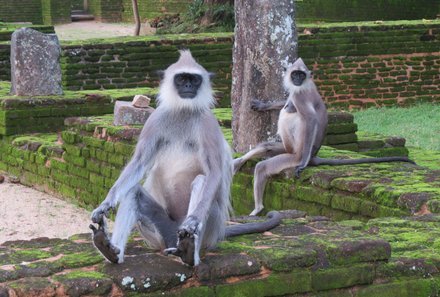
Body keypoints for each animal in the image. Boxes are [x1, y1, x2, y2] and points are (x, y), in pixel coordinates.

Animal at [90, 50, 282, 266]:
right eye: (182, 79)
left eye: (194, 79)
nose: (188, 86)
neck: (183, 110)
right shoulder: (155, 119)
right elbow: (138, 163)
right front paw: (105, 204)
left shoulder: (208, 123)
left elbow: (214, 171)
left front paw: (194, 221)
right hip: (160, 234)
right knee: (133, 192)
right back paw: (111, 251)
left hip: (210, 229)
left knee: (201, 181)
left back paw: (190, 252)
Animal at [235, 57, 414, 215]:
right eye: (295, 74)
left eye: (301, 75)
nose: (297, 79)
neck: (305, 84)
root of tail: (314, 155)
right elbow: (284, 102)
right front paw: (262, 105)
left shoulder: (300, 95)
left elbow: (310, 118)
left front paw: (303, 165)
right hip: (286, 149)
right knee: (266, 147)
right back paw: (238, 162)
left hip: (294, 155)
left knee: (263, 166)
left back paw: (258, 208)